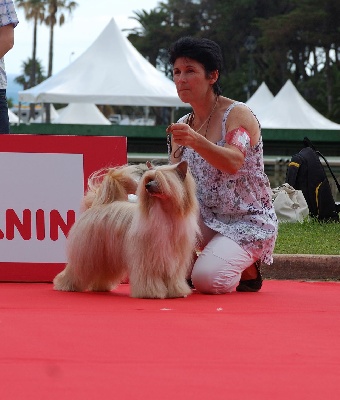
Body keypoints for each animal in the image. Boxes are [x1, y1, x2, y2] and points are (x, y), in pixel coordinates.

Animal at [53, 161, 199, 298]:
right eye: (148, 179)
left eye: (161, 180)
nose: (147, 186)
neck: (165, 214)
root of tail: (97, 204)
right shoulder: (146, 260)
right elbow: (148, 277)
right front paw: (150, 292)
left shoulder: (173, 262)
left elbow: (173, 278)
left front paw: (176, 291)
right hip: (87, 253)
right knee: (76, 270)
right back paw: (65, 285)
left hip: (105, 255)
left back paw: (101, 287)